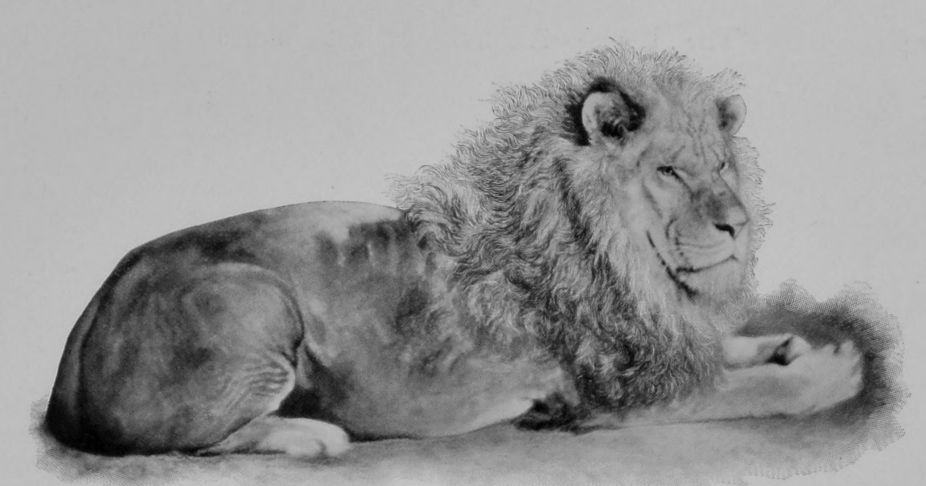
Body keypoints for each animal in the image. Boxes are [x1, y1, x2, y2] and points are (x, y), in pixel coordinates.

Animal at [45, 44, 862, 458]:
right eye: (669, 172)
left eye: (722, 165)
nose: (737, 223)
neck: (626, 262)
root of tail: (79, 336)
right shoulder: (608, 396)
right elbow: (754, 390)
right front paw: (832, 369)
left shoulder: (653, 339)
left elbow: (721, 351)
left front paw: (785, 343)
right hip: (256, 304)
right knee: (197, 443)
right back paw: (316, 435)